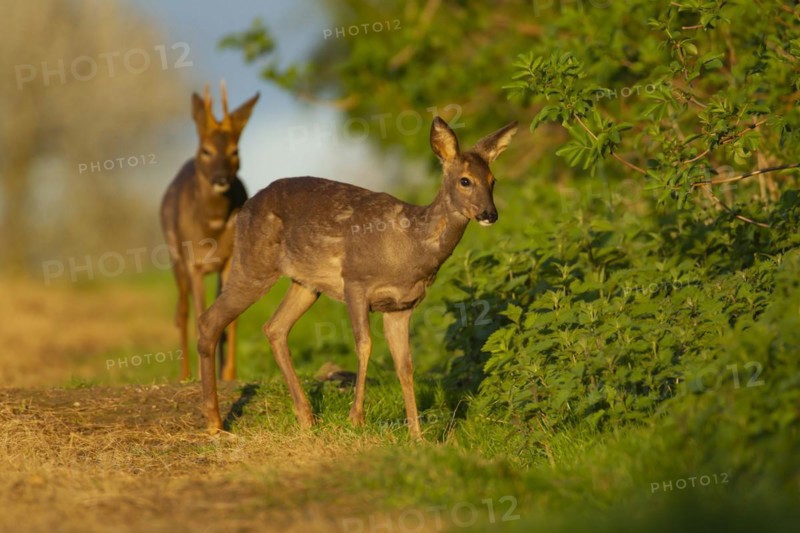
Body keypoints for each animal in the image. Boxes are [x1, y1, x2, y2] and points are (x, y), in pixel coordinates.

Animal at [160, 81, 259, 382]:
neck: (211, 226)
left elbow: (230, 319)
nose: (221, 179)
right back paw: (184, 375)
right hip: (175, 257)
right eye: (205, 150)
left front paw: (229, 375)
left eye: (235, 151)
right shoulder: (193, 263)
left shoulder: (230, 260)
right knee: (181, 312)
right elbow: (198, 314)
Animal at [196, 116, 517, 438]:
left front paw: (417, 435)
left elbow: (405, 364)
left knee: (274, 327)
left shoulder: (402, 306)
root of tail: (243, 209)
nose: (490, 214)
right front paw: (356, 418)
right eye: (465, 180)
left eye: (493, 180)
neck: (410, 247)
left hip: (306, 284)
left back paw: (306, 417)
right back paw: (214, 423)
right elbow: (364, 346)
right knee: (210, 320)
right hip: (254, 263)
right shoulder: (355, 282)